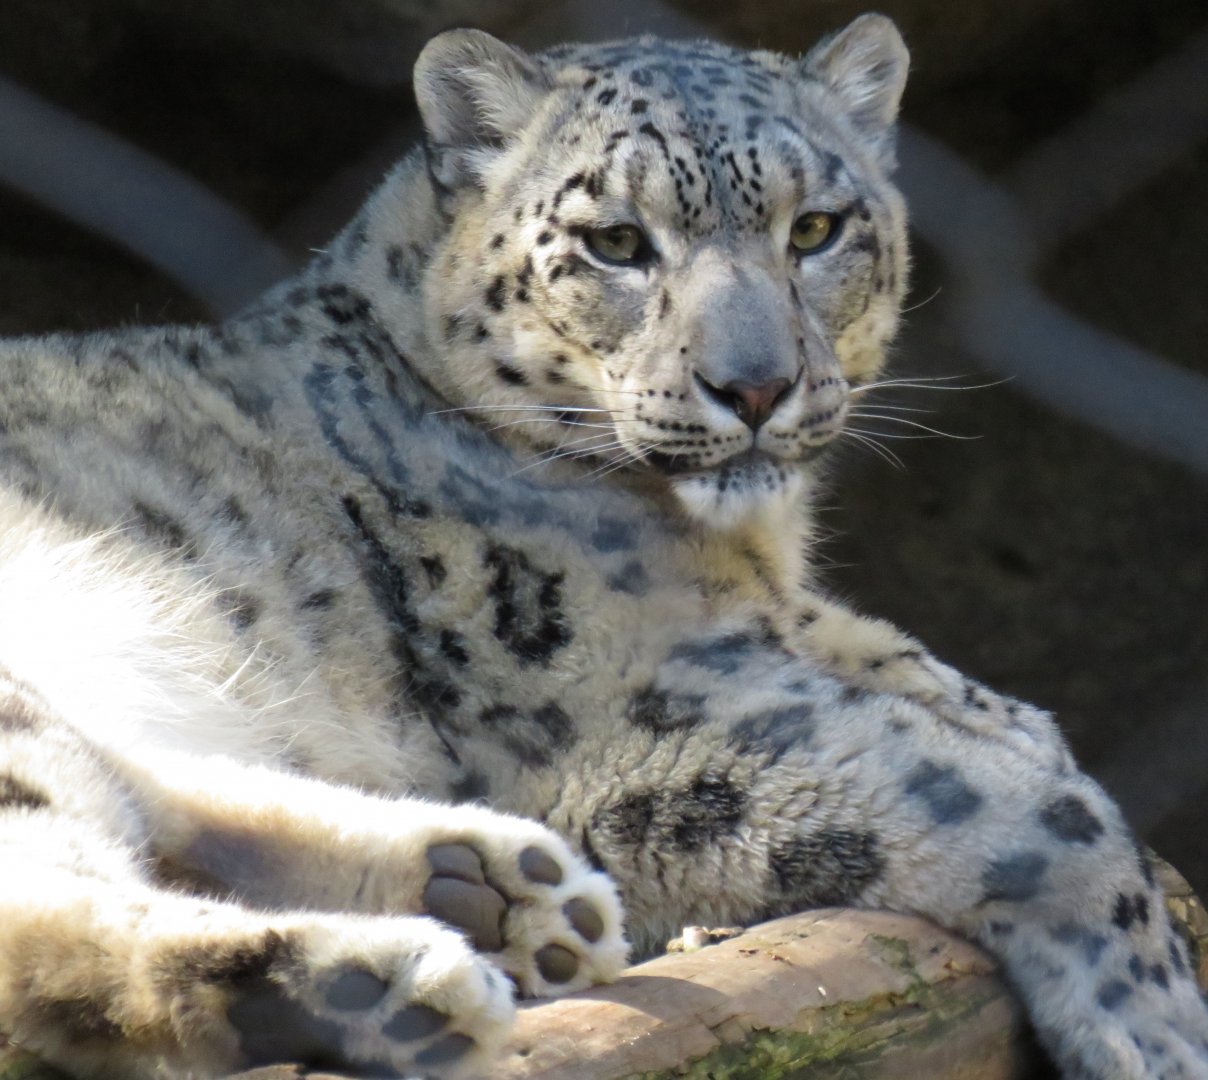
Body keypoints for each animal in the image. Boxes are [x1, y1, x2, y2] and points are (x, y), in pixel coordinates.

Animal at [0, 13, 1204, 1080]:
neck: (744, 558)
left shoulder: (786, 632)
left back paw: (493, 888)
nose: (754, 385)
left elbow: (969, 704)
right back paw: (375, 983)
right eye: (616, 242)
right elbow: (1001, 797)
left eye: (816, 229)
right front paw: (1152, 1024)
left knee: (147, 785)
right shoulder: (626, 715)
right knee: (51, 913)